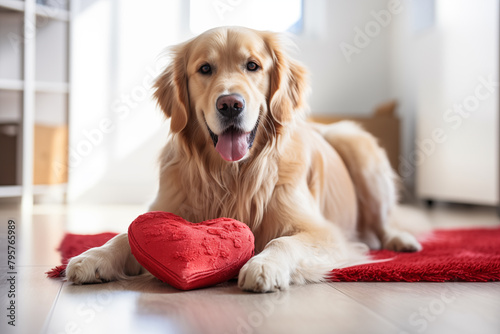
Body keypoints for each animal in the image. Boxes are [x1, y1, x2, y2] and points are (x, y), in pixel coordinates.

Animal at [65, 26, 418, 292]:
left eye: (253, 66)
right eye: (205, 69)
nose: (230, 104)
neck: (231, 174)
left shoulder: (324, 232)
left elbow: (283, 242)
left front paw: (264, 265)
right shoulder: (165, 208)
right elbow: (124, 235)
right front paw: (93, 256)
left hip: (356, 144)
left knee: (384, 222)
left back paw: (402, 240)